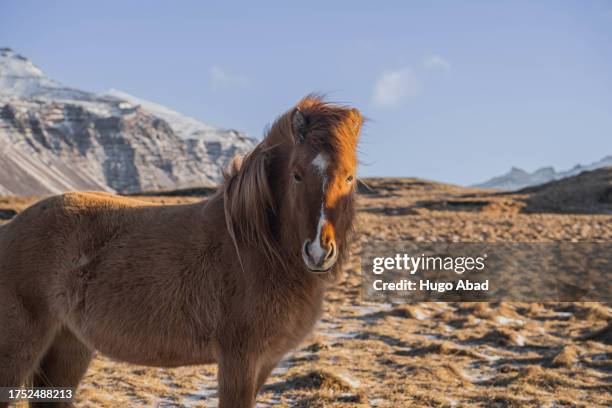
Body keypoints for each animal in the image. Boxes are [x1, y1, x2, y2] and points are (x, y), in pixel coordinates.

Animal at [0, 95, 360, 404]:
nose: (318, 252)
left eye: (350, 178)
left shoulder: (265, 362)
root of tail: (11, 229)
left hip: (68, 346)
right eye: (297, 175)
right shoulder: (238, 362)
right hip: (18, 350)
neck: (258, 249)